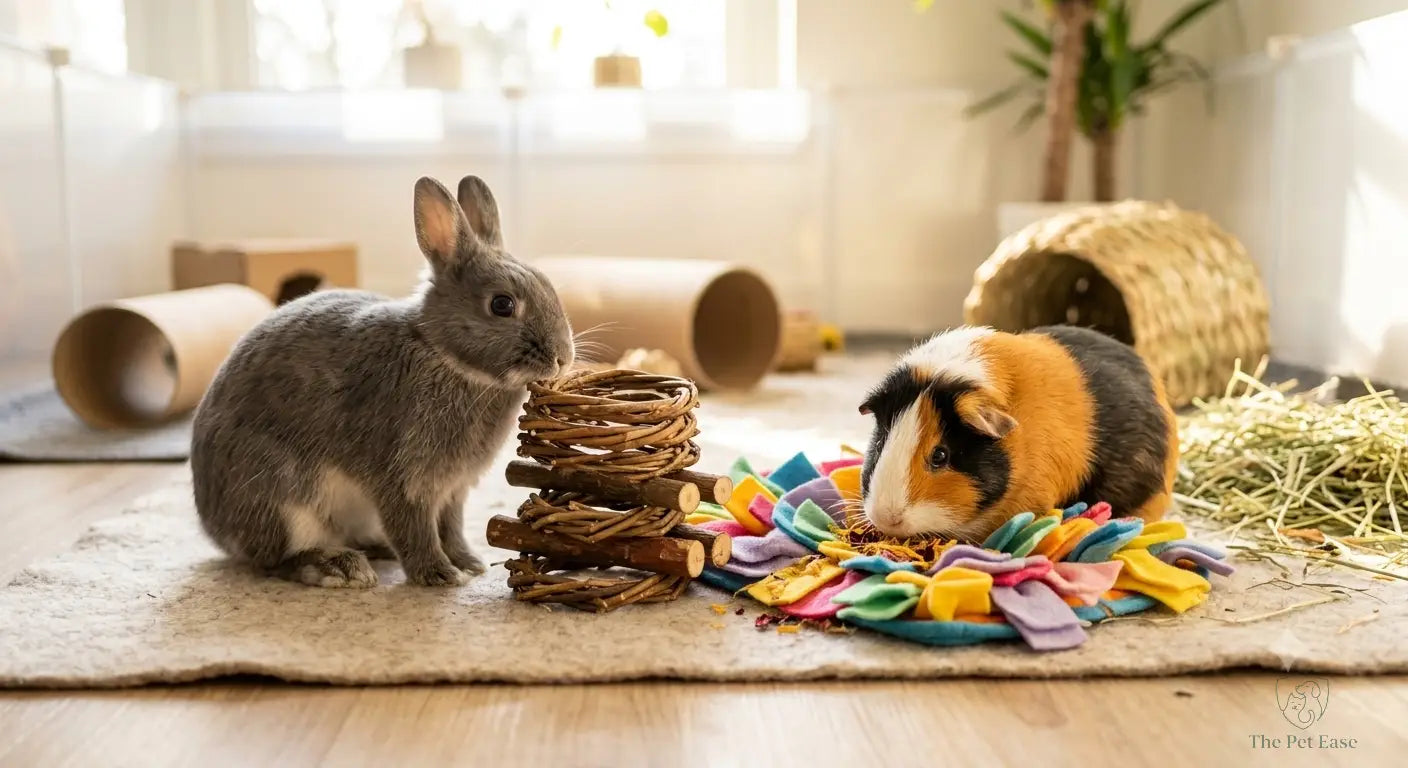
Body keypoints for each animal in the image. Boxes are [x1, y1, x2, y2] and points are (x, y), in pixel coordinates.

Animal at [191, 175, 574, 587]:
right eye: (502, 305)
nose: (562, 358)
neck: (443, 354)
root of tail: (215, 528)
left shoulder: (453, 490)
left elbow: (450, 528)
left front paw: (468, 563)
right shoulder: (403, 479)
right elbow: (414, 529)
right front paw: (439, 575)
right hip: (280, 497)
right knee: (274, 560)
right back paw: (338, 566)